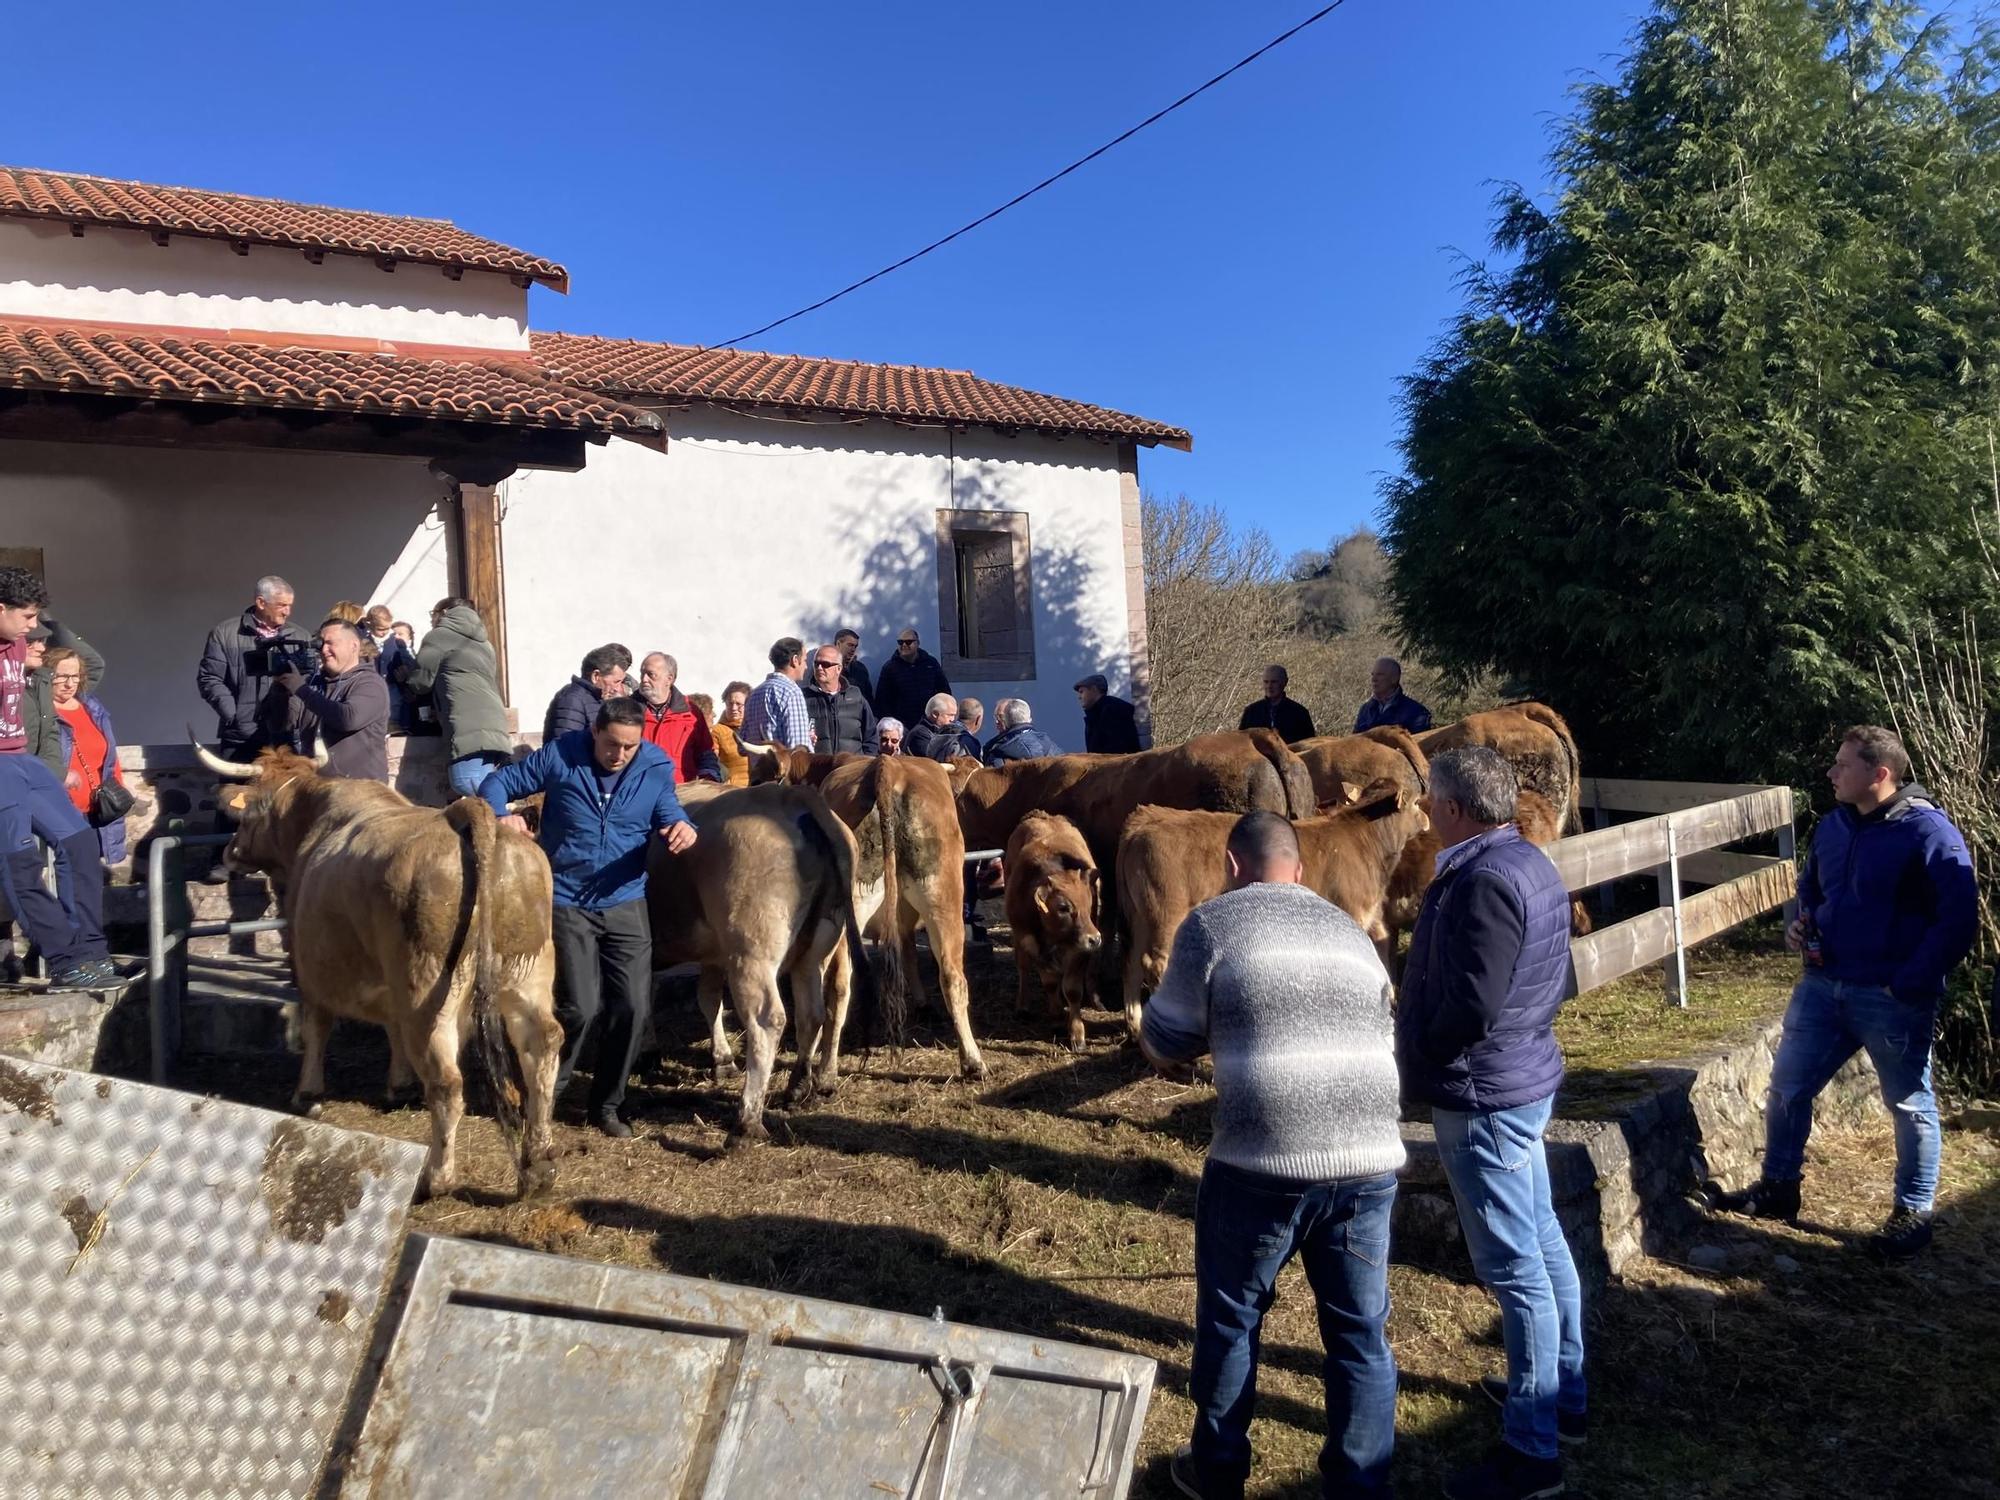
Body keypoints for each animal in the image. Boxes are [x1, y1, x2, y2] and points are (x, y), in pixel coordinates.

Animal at [196, 736, 564, 1200]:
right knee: (542, 1046)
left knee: (446, 1082)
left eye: (246, 816)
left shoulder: (310, 969)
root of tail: (469, 817)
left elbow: (317, 1026)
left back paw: (436, 1178)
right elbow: (390, 1028)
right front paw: (398, 1083)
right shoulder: (390, 986)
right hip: (526, 975)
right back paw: (539, 1166)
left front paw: (307, 1092)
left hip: (427, 993)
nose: (230, 852)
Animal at [644, 780, 872, 1144]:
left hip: (753, 954)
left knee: (769, 1020)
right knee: (812, 1014)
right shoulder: (713, 953)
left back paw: (746, 1122)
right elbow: (707, 998)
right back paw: (797, 1089)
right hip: (813, 950)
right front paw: (722, 1061)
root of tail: (792, 796)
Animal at [1008, 812, 1104, 1056]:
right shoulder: (1031, 944)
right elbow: (1050, 983)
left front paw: (1077, 1035)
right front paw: (1056, 1015)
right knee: (1022, 968)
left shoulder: (1079, 953)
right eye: (1063, 907)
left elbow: (1072, 990)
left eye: (1090, 902)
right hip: (1020, 944)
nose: (1095, 939)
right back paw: (1022, 1005)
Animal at [1120, 788, 1432, 1048]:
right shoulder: (1352, 912)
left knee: (1132, 964)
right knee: (1155, 964)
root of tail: (1149, 817)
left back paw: (1135, 1029)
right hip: (1167, 914)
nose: (1427, 818)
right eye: (1417, 802)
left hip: (1140, 917)